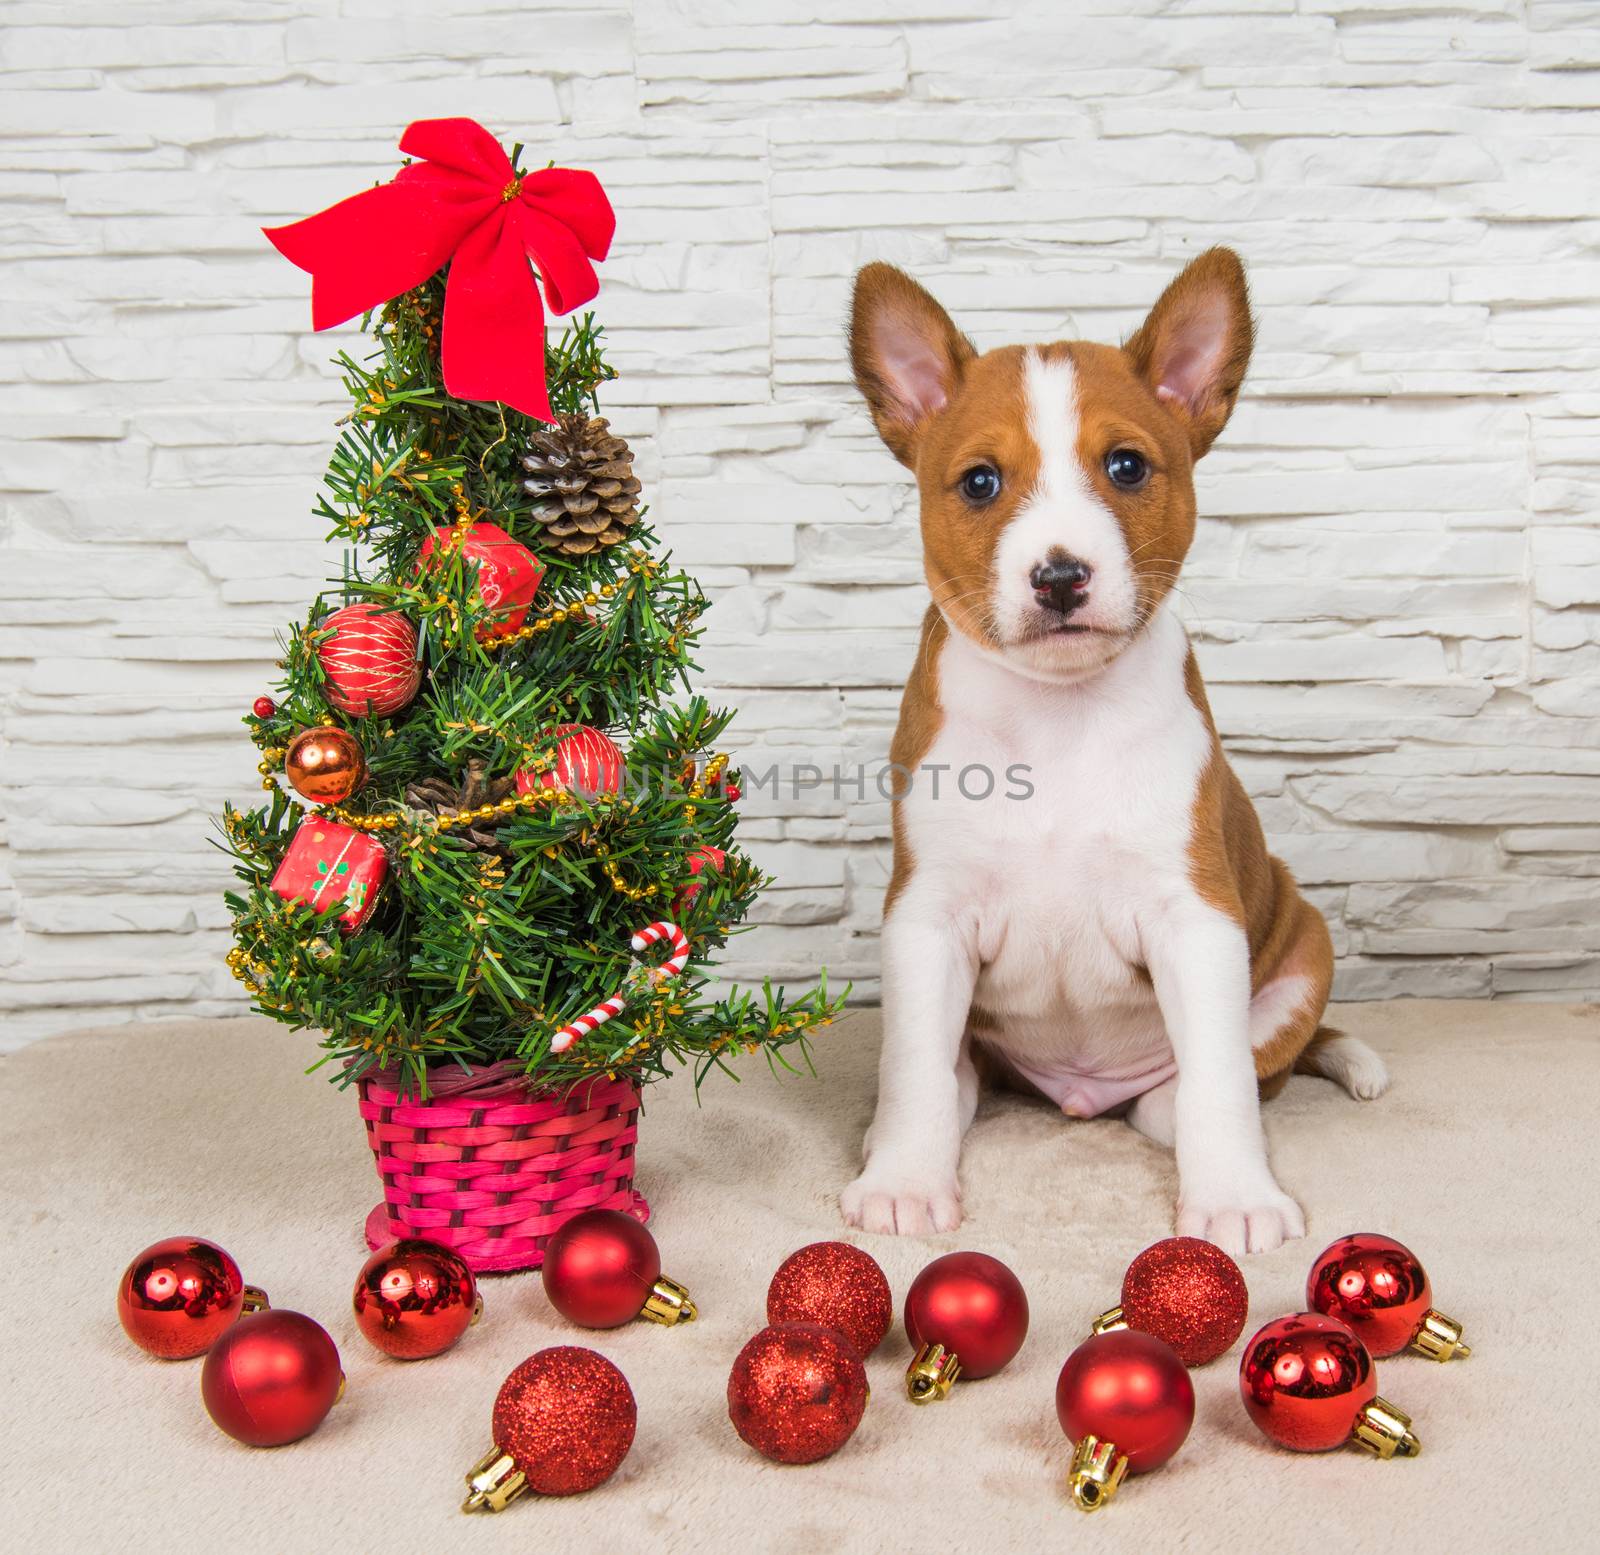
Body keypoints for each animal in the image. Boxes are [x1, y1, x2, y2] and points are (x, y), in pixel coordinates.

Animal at [844, 252, 1382, 1254]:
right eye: (980, 483)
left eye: (1126, 466)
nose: (1060, 576)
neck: (1060, 717)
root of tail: (1079, 1093)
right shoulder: (927, 919)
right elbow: (914, 1070)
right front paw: (902, 1179)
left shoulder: (1195, 919)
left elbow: (1220, 1083)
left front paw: (1234, 1200)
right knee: (953, 1075)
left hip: (1301, 952)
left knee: (1205, 1088)